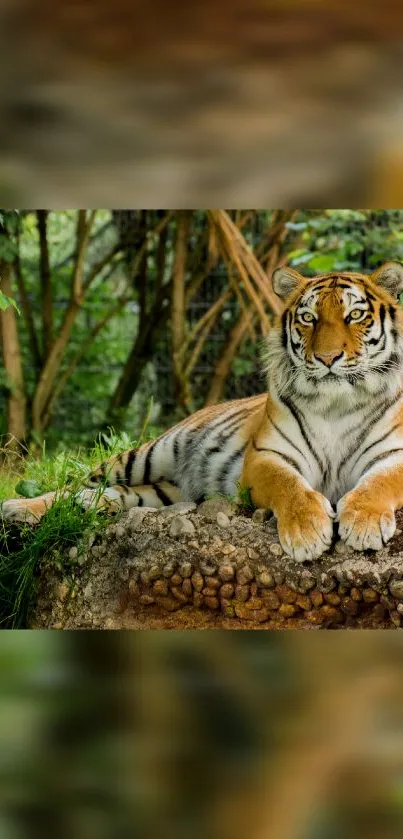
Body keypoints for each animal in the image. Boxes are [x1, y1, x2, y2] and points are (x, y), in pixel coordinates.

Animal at [2, 262, 403, 564]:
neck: (336, 403)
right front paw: (307, 532)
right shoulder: (266, 457)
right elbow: (290, 487)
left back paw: (87, 503)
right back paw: (18, 507)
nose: (327, 358)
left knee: (113, 493)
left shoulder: (394, 454)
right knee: (75, 484)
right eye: (308, 318)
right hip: (147, 454)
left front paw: (363, 523)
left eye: (355, 315)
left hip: (166, 491)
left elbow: (379, 483)